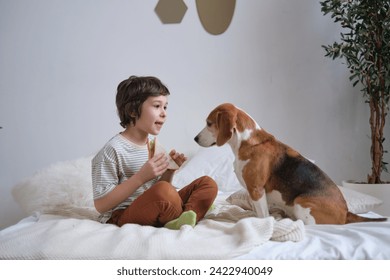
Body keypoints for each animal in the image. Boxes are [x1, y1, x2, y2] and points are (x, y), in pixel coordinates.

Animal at [195, 103, 386, 225]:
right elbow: (257, 212)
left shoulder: (256, 190)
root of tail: (346, 212)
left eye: (209, 123)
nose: (195, 138)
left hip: (300, 203)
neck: (246, 142)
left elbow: (262, 216)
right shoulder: (254, 193)